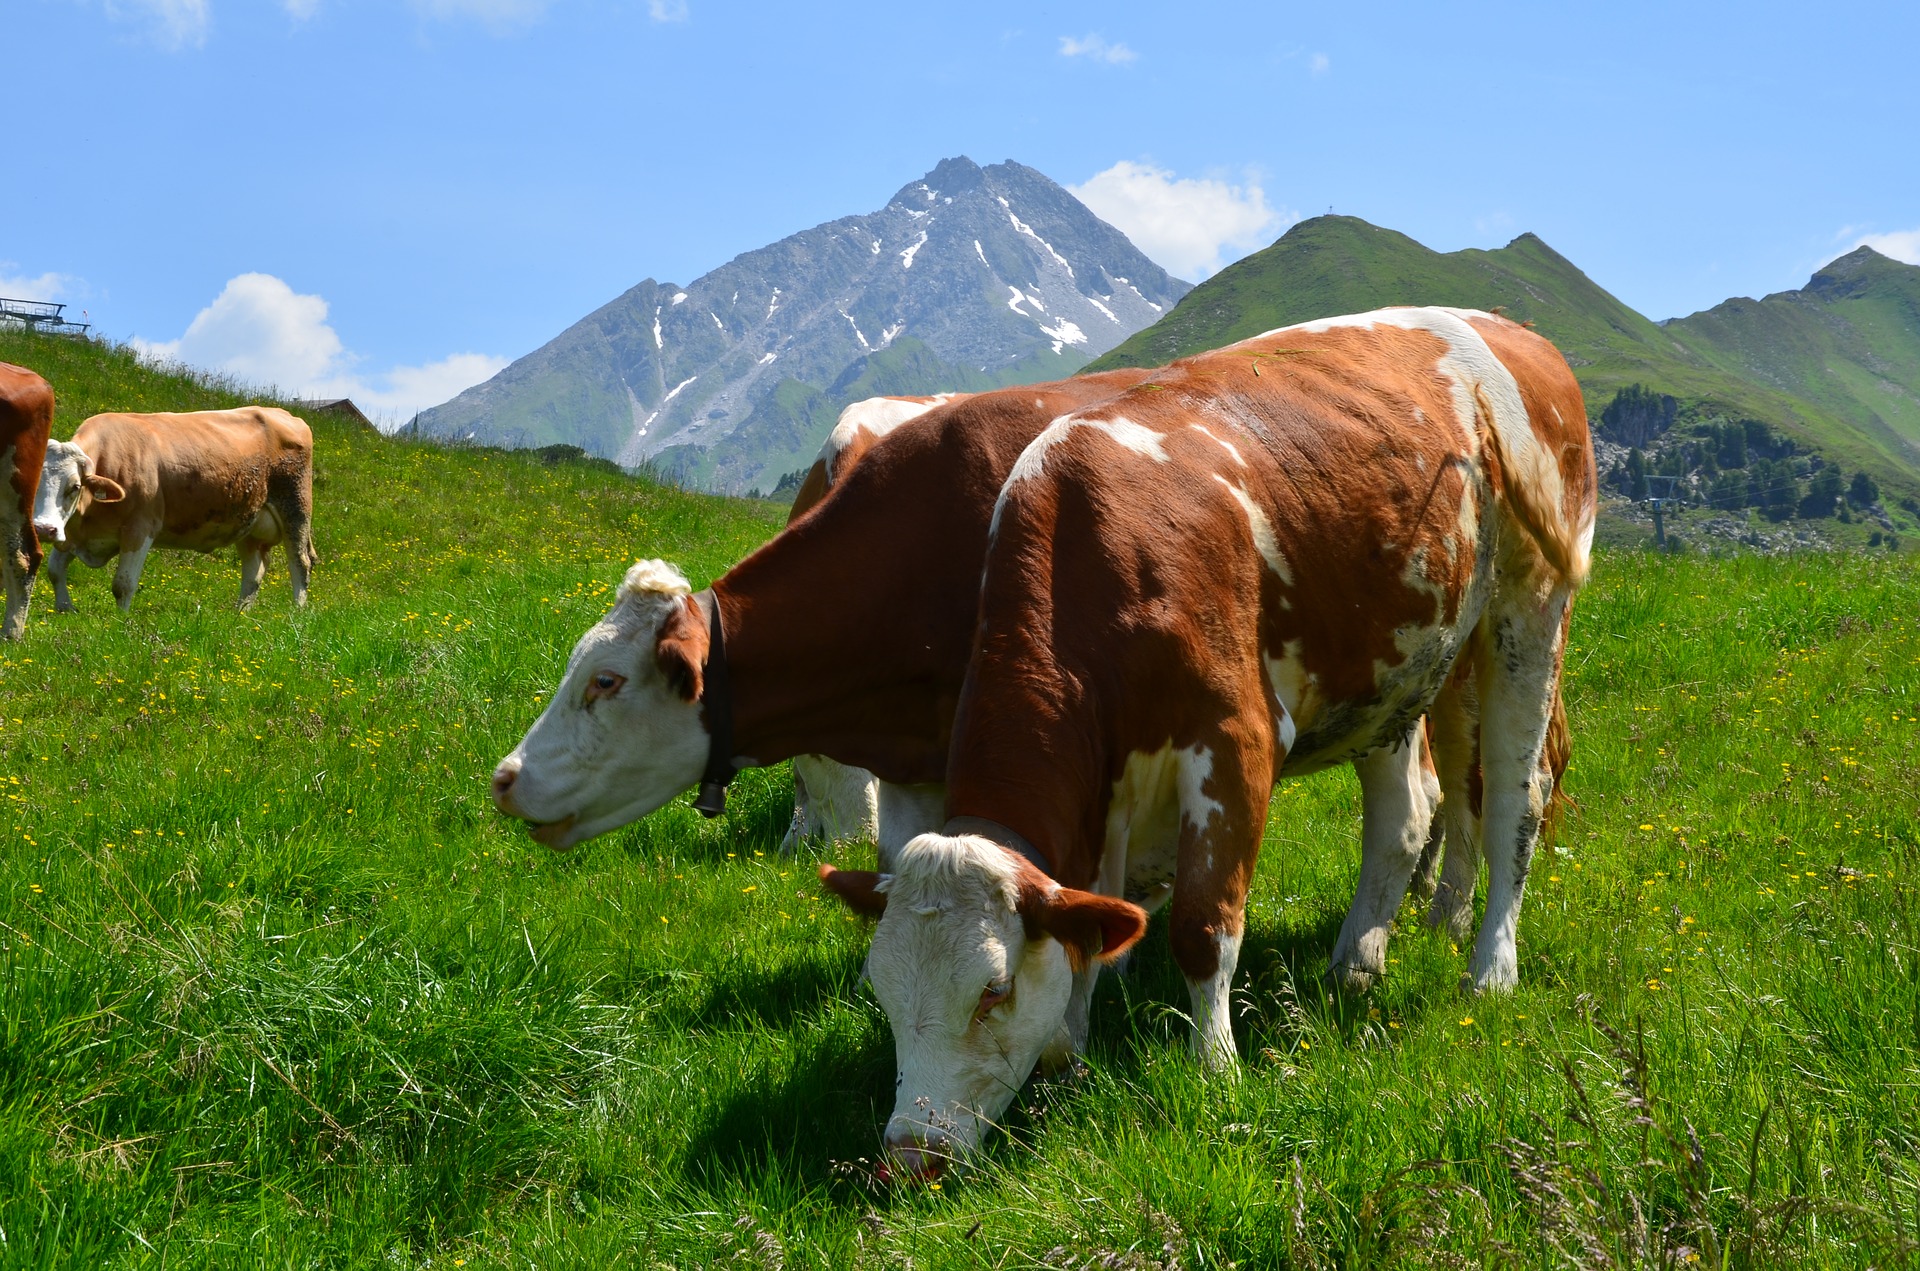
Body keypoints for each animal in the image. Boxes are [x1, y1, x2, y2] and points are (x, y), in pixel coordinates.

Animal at [32, 407, 316, 613]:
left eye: (75, 486)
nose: (44, 529)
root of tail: (283, 413)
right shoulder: (75, 533)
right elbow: (54, 571)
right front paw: (65, 609)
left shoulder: (140, 528)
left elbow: (123, 584)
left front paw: (120, 622)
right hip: (250, 524)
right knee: (254, 572)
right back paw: (239, 614)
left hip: (295, 507)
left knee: (300, 563)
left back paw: (296, 614)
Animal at [818, 308, 1596, 1174]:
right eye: (882, 990)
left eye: (991, 989)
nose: (910, 1155)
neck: (1096, 555)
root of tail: (1516, 332)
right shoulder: (1103, 796)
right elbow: (1091, 926)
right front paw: (1068, 1055)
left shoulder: (1234, 740)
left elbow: (1202, 925)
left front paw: (1216, 1071)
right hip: (1403, 664)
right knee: (1409, 814)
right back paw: (1359, 960)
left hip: (1531, 607)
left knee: (1515, 800)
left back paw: (1490, 968)